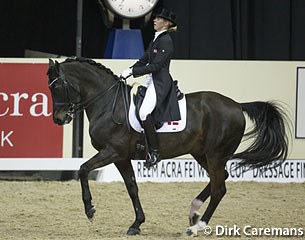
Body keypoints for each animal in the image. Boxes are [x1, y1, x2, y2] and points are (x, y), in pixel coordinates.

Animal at [45, 57, 288, 236]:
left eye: (57, 87)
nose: (59, 119)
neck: (108, 104)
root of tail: (237, 105)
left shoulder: (112, 151)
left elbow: (83, 169)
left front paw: (90, 210)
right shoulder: (121, 157)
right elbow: (132, 188)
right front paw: (137, 224)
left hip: (215, 155)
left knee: (219, 188)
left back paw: (196, 227)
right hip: (202, 153)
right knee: (220, 180)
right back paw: (194, 211)